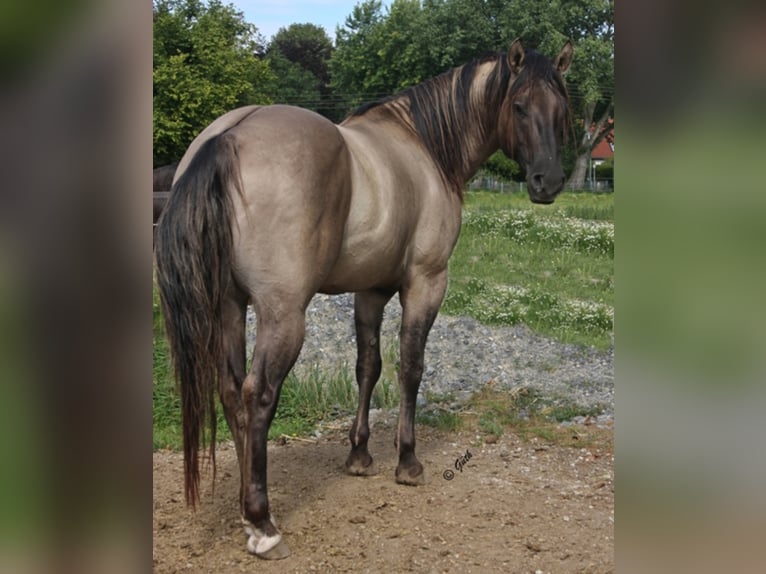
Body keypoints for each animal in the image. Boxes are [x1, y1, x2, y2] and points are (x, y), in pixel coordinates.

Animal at [155, 39, 572, 559]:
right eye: (518, 106)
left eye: (562, 109)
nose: (547, 181)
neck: (425, 146)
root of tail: (227, 138)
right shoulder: (425, 282)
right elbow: (410, 366)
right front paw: (407, 461)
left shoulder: (370, 290)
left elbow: (367, 367)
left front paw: (359, 454)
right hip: (282, 315)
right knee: (258, 394)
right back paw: (263, 523)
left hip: (228, 308)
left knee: (231, 391)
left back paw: (246, 511)